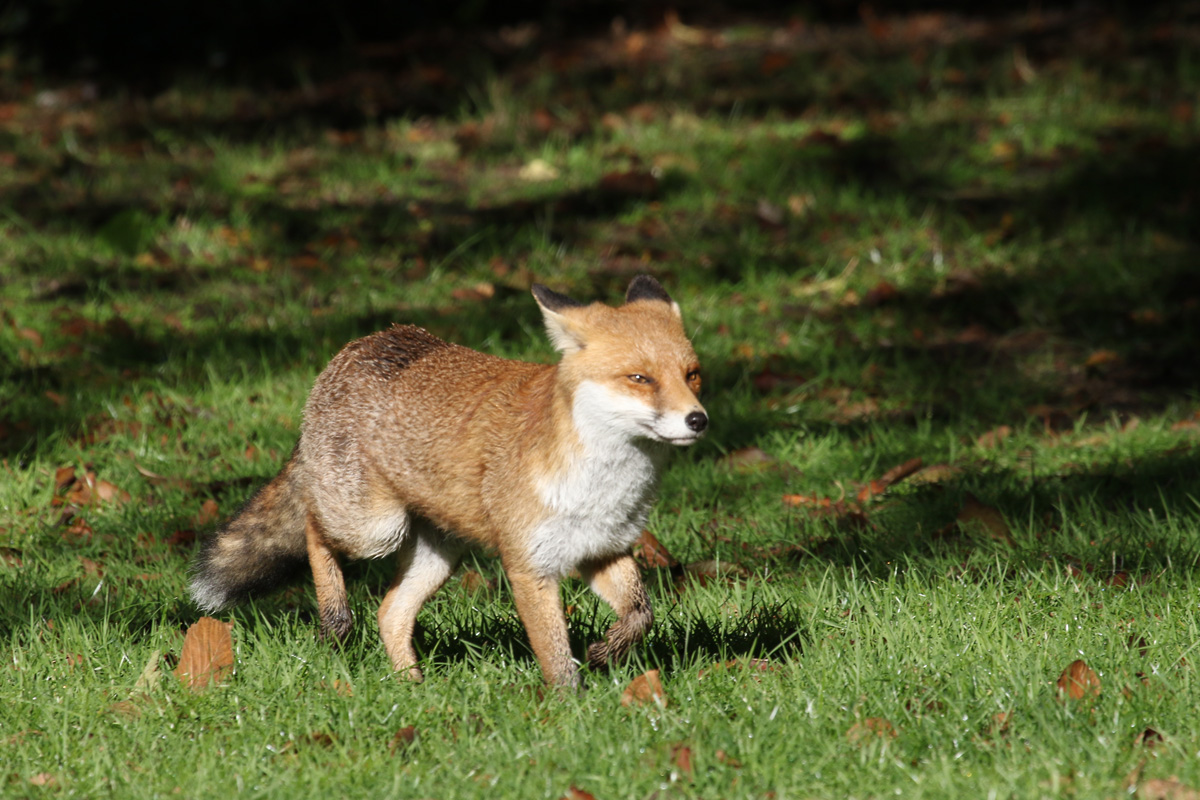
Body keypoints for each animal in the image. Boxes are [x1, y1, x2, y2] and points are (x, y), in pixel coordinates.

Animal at [190, 275, 707, 687]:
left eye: (692, 375)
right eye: (639, 378)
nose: (698, 420)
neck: (602, 486)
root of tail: (364, 343)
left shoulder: (603, 549)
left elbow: (641, 614)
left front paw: (605, 654)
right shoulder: (529, 567)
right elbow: (557, 657)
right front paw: (569, 708)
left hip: (440, 554)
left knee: (389, 612)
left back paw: (411, 687)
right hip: (374, 529)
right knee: (315, 531)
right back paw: (336, 617)